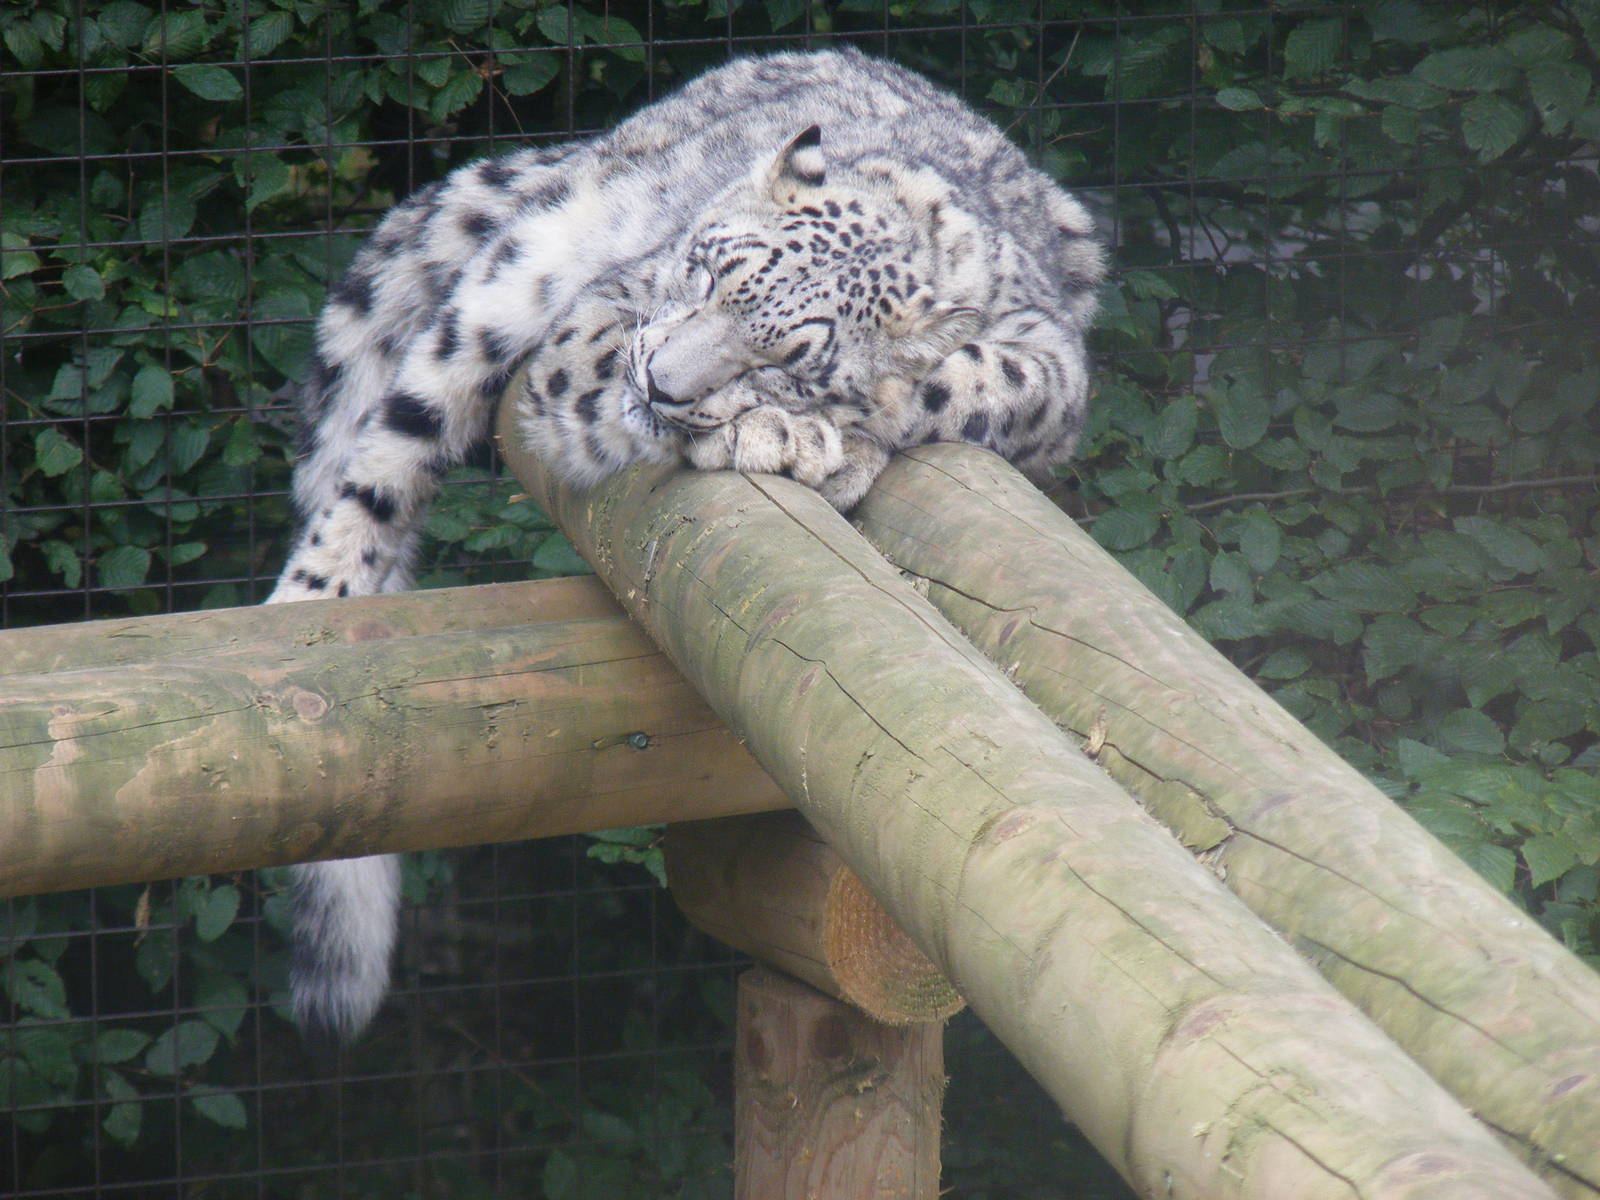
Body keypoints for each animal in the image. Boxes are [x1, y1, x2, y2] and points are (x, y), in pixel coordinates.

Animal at [269, 47, 1104, 1043]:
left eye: (788, 357)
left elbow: (969, 379)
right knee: (382, 456)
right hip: (514, 278)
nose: (661, 382)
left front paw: (828, 427)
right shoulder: (593, 326)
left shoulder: (1050, 361)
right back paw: (307, 605)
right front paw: (776, 434)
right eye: (708, 273)